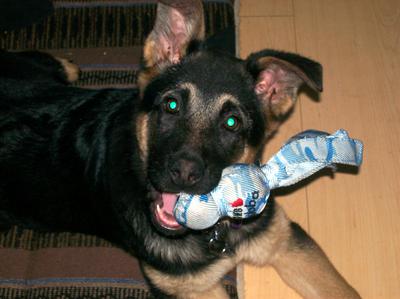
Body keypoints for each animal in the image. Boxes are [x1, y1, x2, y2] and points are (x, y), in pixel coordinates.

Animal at [0, 1, 360, 298]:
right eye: (171, 105)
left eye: (232, 123)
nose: (184, 174)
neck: (215, 235)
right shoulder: (189, 288)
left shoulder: (285, 240)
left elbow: (346, 291)